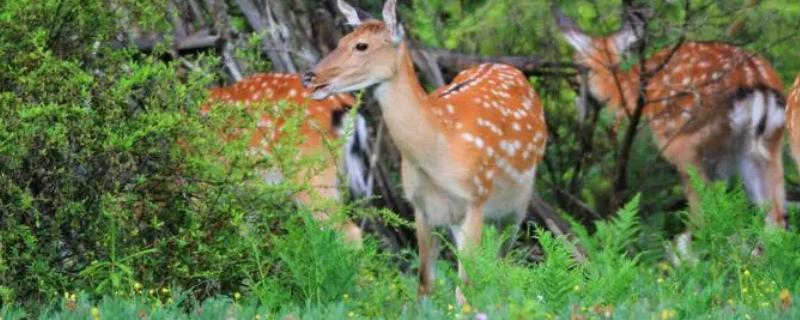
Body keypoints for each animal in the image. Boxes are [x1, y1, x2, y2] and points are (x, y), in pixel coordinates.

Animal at [304, 0, 548, 302]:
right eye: (340, 41)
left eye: (361, 45)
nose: (310, 76)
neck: (439, 149)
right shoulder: (421, 207)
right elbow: (425, 283)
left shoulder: (476, 199)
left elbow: (465, 289)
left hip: (516, 205)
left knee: (502, 262)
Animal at [552, 6, 784, 229]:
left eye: (578, 64)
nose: (577, 93)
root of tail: (755, 81)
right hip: (767, 144)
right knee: (776, 215)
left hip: (684, 137)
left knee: (704, 207)